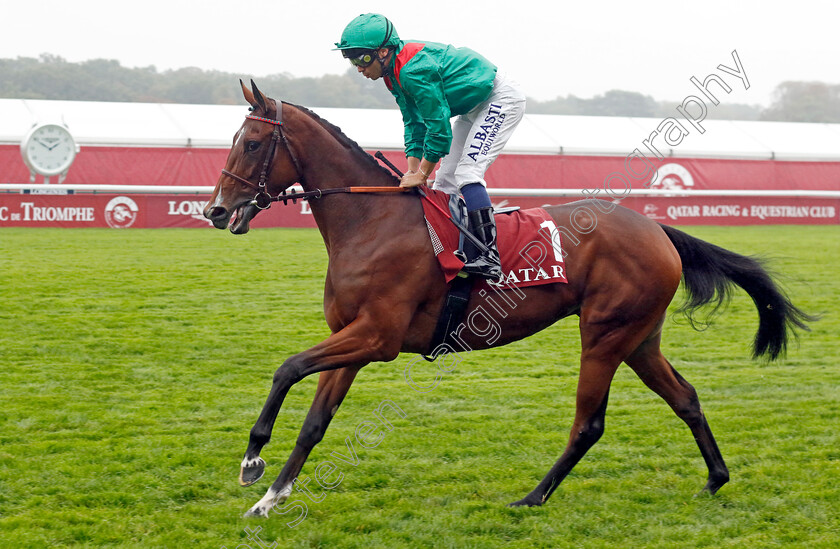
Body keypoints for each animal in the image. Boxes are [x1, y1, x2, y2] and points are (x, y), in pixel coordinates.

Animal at [200, 79, 812, 516]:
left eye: (251, 142)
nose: (216, 211)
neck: (371, 220)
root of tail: (657, 229)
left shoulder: (377, 337)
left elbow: (286, 368)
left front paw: (252, 460)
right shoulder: (351, 338)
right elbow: (315, 421)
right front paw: (271, 497)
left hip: (605, 333)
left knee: (589, 423)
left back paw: (532, 497)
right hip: (640, 338)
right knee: (685, 397)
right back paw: (714, 478)